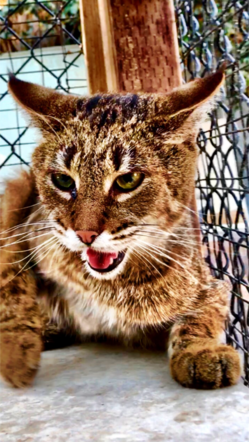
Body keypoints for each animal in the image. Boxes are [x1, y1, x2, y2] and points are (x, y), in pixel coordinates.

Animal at [0, 73, 241, 390]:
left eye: (128, 180)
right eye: (63, 181)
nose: (85, 234)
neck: (115, 286)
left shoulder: (214, 286)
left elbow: (198, 318)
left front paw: (203, 352)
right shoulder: (23, 222)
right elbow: (11, 274)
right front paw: (16, 350)